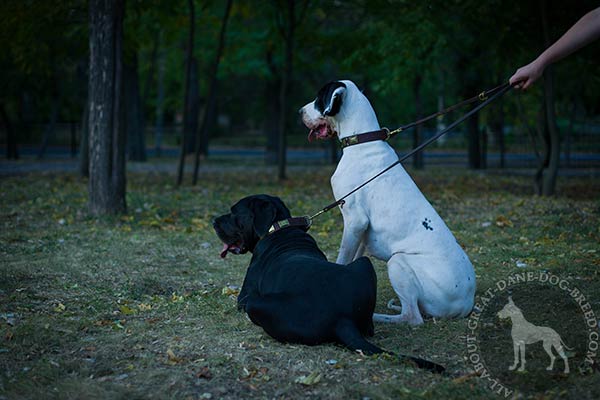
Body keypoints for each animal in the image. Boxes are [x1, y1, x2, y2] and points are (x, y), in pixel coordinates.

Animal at [213, 195, 442, 374]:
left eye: (234, 212)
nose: (214, 221)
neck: (279, 228)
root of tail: (342, 318)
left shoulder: (244, 298)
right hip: (364, 264)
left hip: (255, 304)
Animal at [302, 80, 476, 324]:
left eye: (319, 99)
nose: (300, 111)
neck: (361, 142)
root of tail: (467, 302)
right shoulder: (361, 232)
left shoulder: (355, 221)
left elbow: (342, 259)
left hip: (398, 261)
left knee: (412, 317)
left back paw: (379, 316)